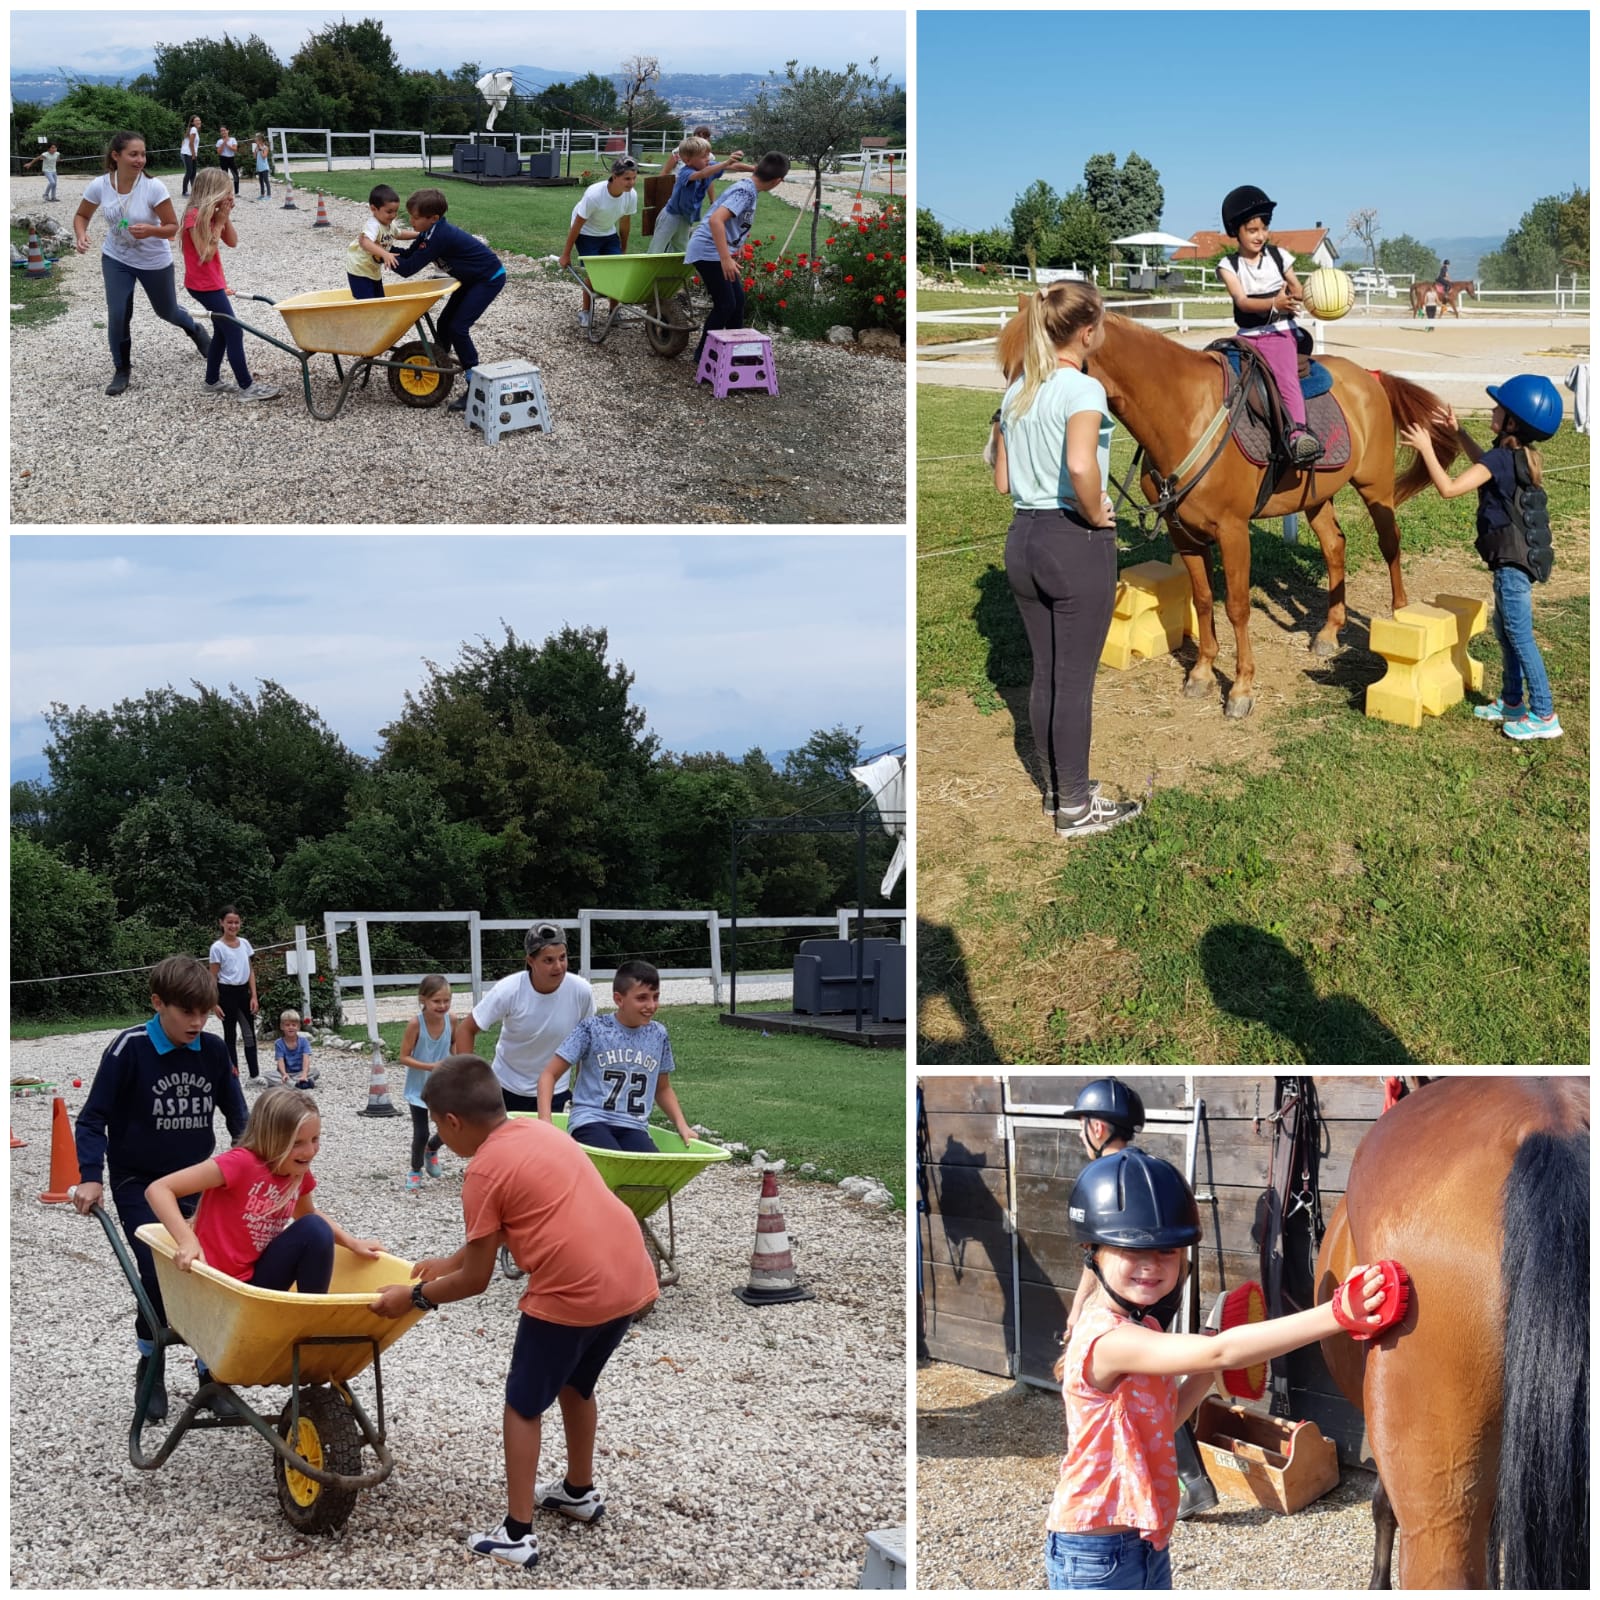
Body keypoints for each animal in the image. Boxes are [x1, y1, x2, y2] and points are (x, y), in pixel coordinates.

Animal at [992, 304, 1459, 713]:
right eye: (1005, 369)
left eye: (1043, 368)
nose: (1004, 444)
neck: (1184, 414)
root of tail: (1371, 377)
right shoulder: (1183, 532)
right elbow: (1202, 600)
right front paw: (1200, 673)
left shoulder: (1233, 531)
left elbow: (1236, 607)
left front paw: (1240, 690)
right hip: (1315, 498)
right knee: (1334, 547)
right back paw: (1328, 631)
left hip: (1375, 487)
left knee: (1390, 542)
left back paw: (1401, 614)